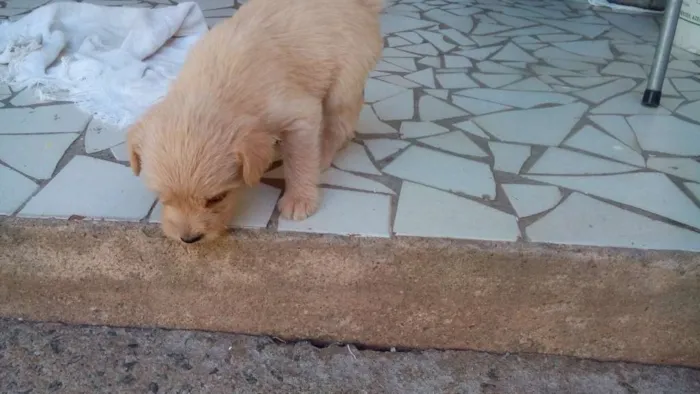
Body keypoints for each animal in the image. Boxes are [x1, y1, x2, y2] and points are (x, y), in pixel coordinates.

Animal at [127, 0, 382, 243]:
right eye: (162, 198)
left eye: (217, 198)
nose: (189, 239)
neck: (214, 86)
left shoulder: (300, 115)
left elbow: (300, 160)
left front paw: (299, 198)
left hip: (342, 84)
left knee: (339, 123)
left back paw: (322, 154)